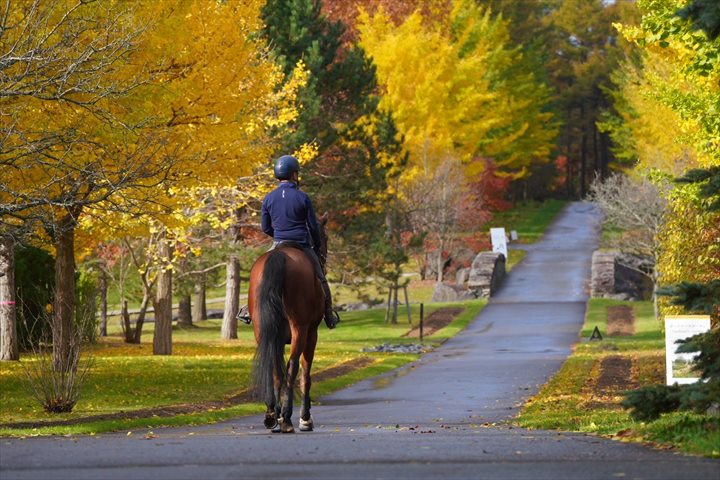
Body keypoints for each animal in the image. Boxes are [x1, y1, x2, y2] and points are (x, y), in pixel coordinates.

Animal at [248, 213, 326, 432]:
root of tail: (279, 257)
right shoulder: (312, 334)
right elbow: (305, 374)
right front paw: (305, 418)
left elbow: (278, 371)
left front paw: (278, 413)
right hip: (300, 329)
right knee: (292, 366)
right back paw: (288, 418)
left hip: (262, 330)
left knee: (272, 365)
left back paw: (271, 414)